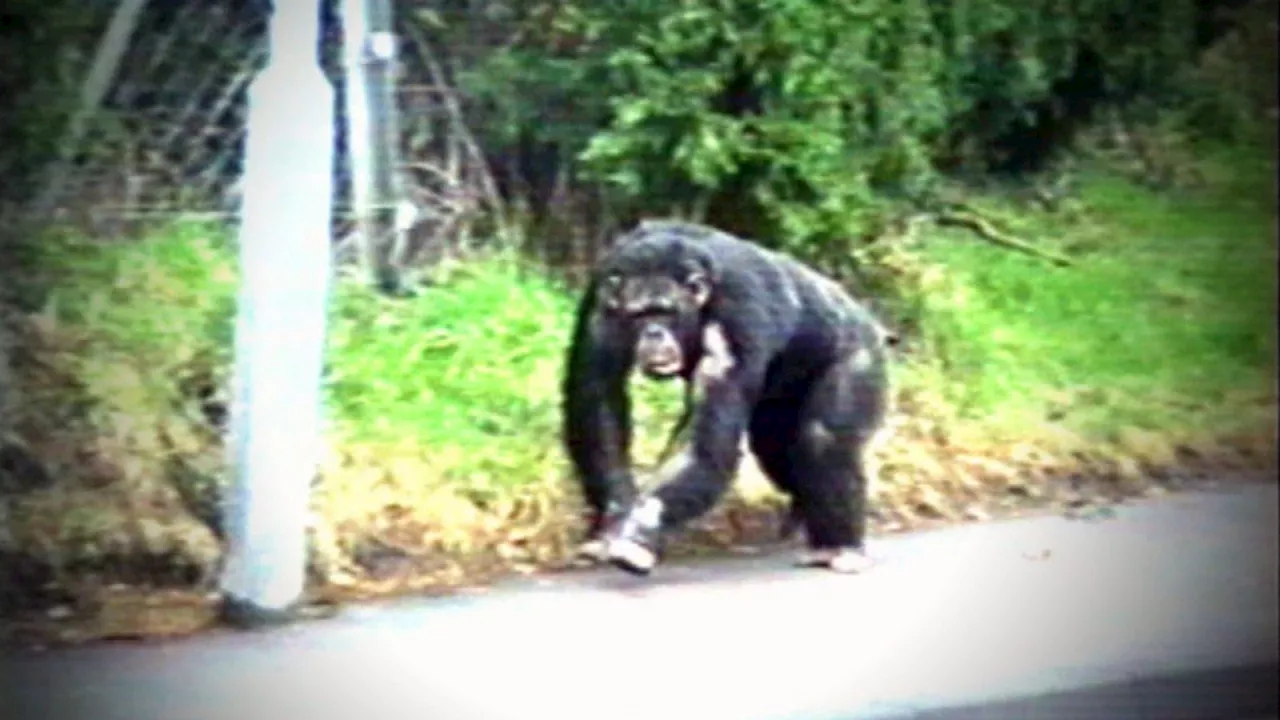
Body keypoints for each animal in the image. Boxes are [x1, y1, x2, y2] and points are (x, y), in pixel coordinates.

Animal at [565, 221, 896, 573]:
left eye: (664, 312)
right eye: (640, 315)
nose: (653, 333)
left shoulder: (738, 314)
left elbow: (704, 447)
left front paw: (640, 529)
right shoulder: (602, 300)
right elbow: (598, 396)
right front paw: (615, 517)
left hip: (859, 353)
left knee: (824, 438)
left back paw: (840, 546)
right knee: (774, 445)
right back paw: (803, 518)